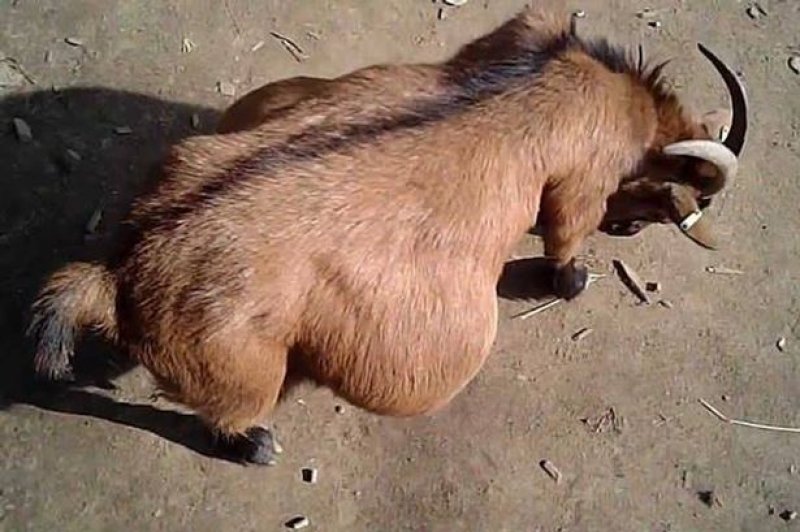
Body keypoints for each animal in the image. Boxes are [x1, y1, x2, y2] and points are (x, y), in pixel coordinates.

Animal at [29, 7, 748, 465]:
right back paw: (253, 443)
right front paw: (572, 274)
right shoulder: (581, 181)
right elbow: (566, 246)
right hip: (244, 369)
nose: (629, 225)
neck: (582, 78)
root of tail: (120, 272)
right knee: (230, 410)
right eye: (679, 202)